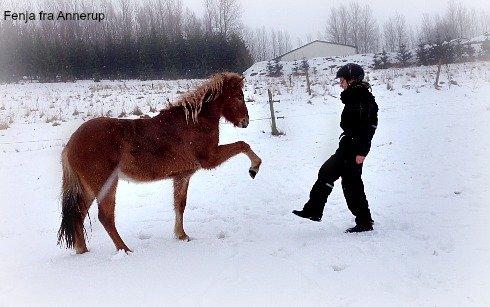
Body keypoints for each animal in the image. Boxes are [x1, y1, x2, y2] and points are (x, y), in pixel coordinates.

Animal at [57, 73, 260, 255]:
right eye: (238, 96)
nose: (245, 122)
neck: (192, 122)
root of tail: (70, 144)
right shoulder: (210, 159)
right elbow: (243, 144)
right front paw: (254, 168)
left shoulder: (182, 176)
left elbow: (180, 205)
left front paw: (181, 235)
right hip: (106, 184)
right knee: (105, 216)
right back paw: (125, 250)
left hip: (89, 188)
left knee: (78, 214)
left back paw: (83, 250)